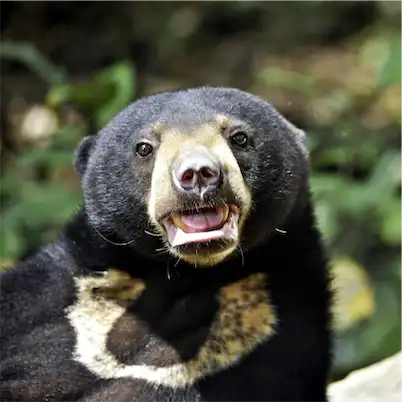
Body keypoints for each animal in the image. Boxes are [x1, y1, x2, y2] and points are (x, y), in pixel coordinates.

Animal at [0, 88, 332, 402]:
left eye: (239, 138)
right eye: (144, 147)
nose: (198, 174)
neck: (178, 277)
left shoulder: (266, 338)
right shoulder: (52, 292)